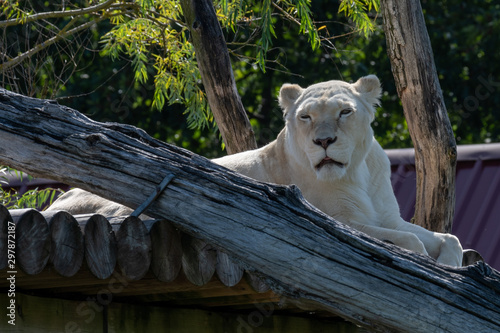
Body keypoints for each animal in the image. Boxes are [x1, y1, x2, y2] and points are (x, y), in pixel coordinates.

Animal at [48, 74, 462, 264]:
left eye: (345, 111)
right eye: (306, 117)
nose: (324, 142)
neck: (356, 172)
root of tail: (57, 200)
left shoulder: (388, 217)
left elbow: (449, 239)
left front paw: (450, 263)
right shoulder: (339, 221)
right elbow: (410, 243)